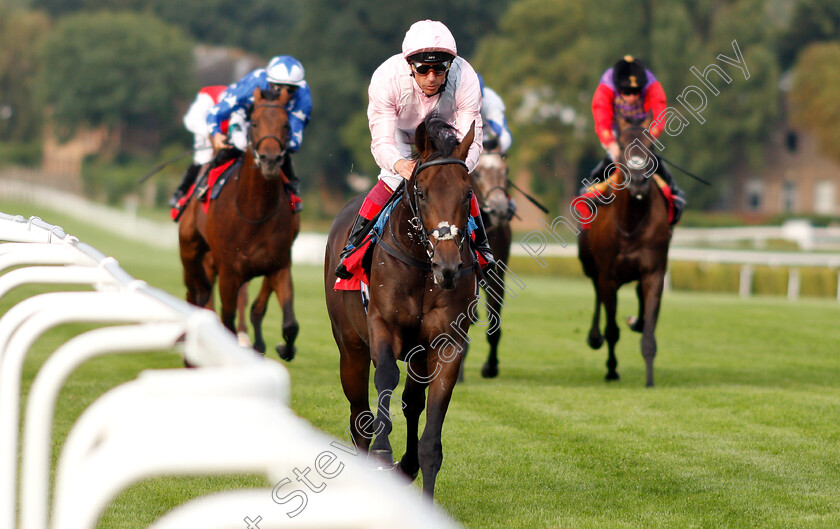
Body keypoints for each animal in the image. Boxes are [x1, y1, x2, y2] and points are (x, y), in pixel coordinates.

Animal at [177, 88, 298, 358]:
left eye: (286, 125)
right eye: (254, 123)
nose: (270, 160)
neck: (255, 212)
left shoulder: (279, 265)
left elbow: (289, 323)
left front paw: (282, 347)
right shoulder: (229, 272)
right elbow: (227, 320)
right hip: (190, 247)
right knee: (195, 289)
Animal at [324, 114, 476, 496]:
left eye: (467, 194)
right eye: (421, 192)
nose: (448, 267)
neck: (422, 266)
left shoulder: (446, 344)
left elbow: (430, 434)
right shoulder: (383, 326)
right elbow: (387, 376)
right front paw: (382, 452)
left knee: (412, 402)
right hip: (350, 348)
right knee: (359, 412)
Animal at [576, 117, 668, 386]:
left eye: (651, 145)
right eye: (623, 144)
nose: (638, 182)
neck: (631, 223)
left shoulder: (654, 272)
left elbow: (648, 330)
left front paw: (650, 379)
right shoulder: (608, 275)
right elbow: (612, 330)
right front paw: (612, 369)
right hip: (590, 265)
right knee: (597, 294)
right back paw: (595, 338)